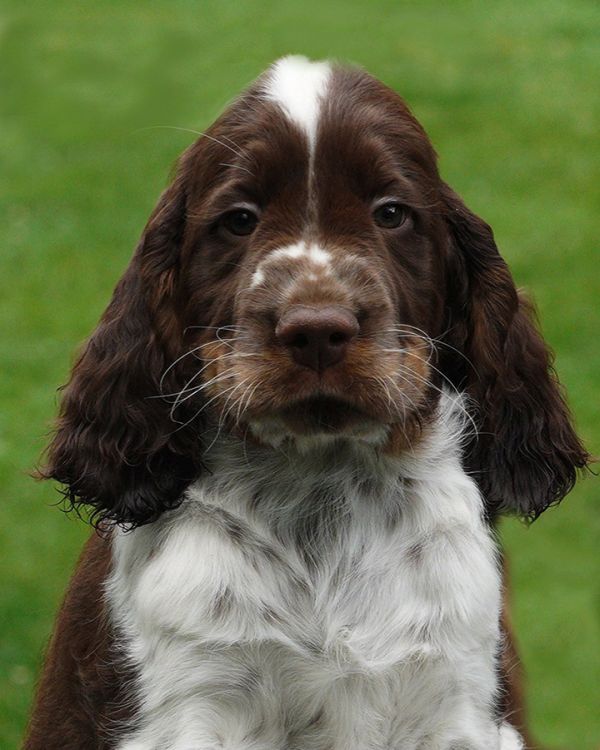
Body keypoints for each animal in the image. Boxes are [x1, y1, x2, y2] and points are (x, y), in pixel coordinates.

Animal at [25, 55, 588, 748]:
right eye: (239, 219)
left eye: (391, 213)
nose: (317, 329)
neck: (322, 484)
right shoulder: (192, 702)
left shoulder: (457, 699)